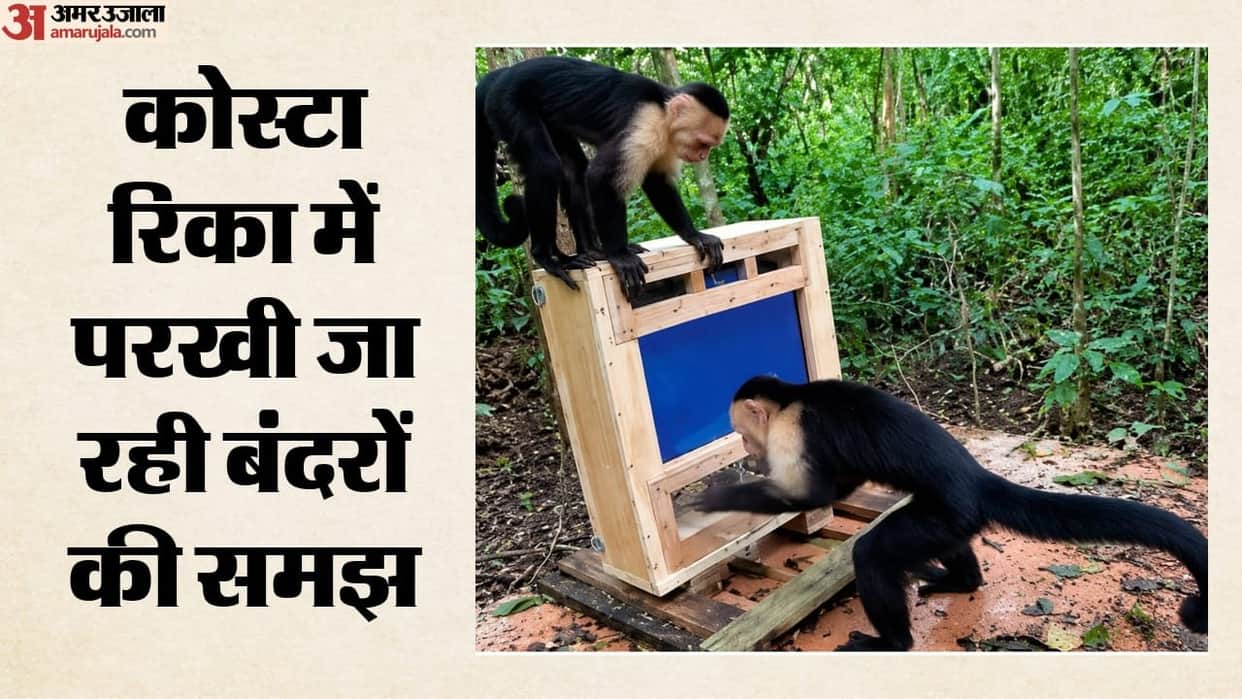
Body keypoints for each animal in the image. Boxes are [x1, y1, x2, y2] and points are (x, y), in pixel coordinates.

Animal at [476, 55, 729, 299]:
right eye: (703, 143)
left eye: (709, 146)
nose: (702, 155)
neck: (662, 111)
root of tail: (501, 74)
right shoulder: (644, 126)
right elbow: (601, 177)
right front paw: (619, 255)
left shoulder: (666, 141)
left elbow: (657, 183)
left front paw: (695, 235)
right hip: (508, 103)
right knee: (545, 166)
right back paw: (547, 257)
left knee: (574, 169)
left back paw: (591, 250)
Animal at [694, 375, 1208, 652]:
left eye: (744, 435)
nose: (749, 454)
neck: (793, 396)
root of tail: (977, 478)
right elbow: (838, 487)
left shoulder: (791, 430)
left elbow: (810, 494)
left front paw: (718, 500)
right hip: (950, 516)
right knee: (945, 543)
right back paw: (961, 580)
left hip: (947, 512)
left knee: (874, 553)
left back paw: (892, 642)